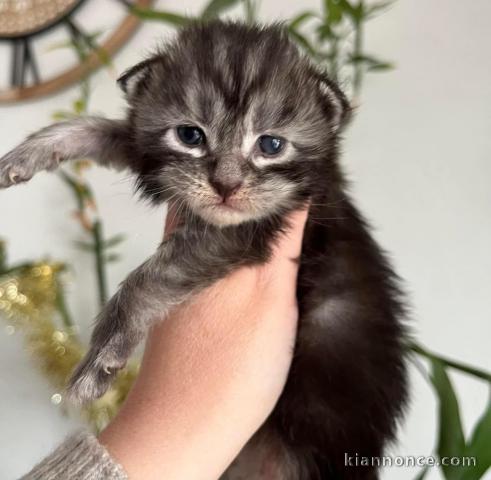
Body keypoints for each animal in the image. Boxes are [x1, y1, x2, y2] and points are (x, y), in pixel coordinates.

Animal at [0, 20, 408, 478]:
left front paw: (102, 358)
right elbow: (110, 129)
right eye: (190, 136)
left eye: (271, 146)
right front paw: (36, 149)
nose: (226, 186)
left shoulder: (246, 231)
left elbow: (145, 281)